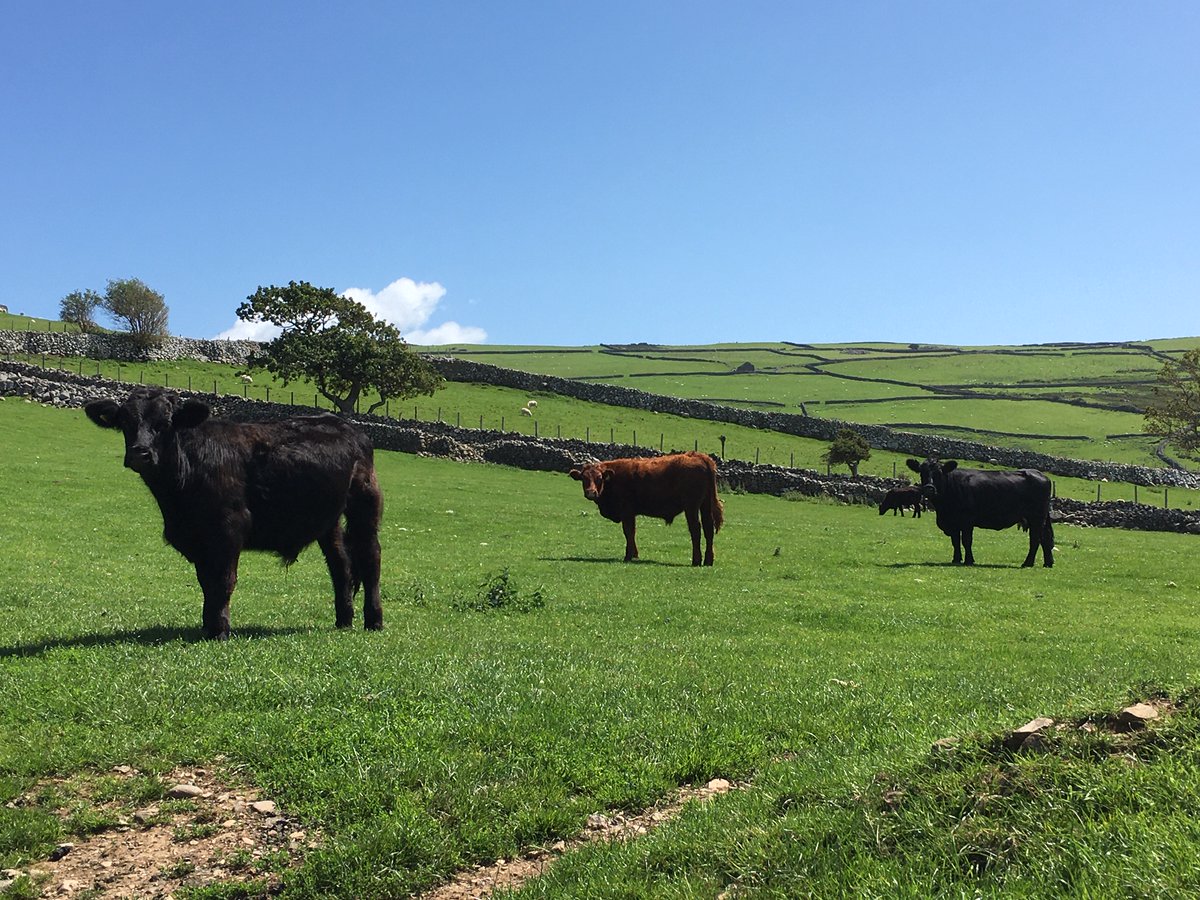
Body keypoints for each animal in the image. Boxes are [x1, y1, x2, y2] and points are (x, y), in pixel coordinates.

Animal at [85, 387, 383, 639]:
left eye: (165, 423)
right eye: (125, 423)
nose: (140, 453)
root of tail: (349, 428)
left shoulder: (229, 529)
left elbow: (224, 580)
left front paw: (220, 630)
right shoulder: (198, 539)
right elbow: (207, 582)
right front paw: (208, 625)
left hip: (364, 504)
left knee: (370, 558)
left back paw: (374, 621)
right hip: (328, 520)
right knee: (341, 564)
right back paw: (344, 620)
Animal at [568, 452, 724, 566]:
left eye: (599, 478)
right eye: (584, 478)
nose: (591, 492)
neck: (613, 479)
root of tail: (697, 455)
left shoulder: (627, 512)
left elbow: (628, 532)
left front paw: (628, 556)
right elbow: (632, 532)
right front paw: (635, 554)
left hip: (691, 506)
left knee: (696, 529)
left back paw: (696, 560)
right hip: (705, 505)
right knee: (708, 529)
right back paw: (708, 560)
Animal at [906, 457, 1054, 567]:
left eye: (939, 473)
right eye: (922, 472)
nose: (929, 489)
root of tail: (1041, 475)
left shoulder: (967, 520)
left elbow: (966, 541)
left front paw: (969, 560)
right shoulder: (953, 522)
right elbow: (955, 541)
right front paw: (956, 559)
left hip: (1036, 518)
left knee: (1035, 539)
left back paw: (1027, 563)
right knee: (1045, 538)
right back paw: (1048, 563)